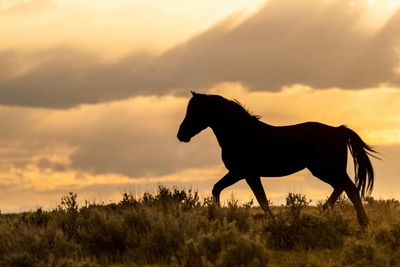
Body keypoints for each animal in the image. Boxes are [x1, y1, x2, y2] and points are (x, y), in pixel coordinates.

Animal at [177, 91, 376, 226]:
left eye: (195, 111)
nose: (181, 135)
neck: (241, 134)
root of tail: (338, 130)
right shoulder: (248, 175)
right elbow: (257, 198)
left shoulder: (242, 173)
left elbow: (254, 198)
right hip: (326, 170)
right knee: (342, 188)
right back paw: (327, 213)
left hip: (326, 169)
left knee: (350, 189)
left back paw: (362, 223)